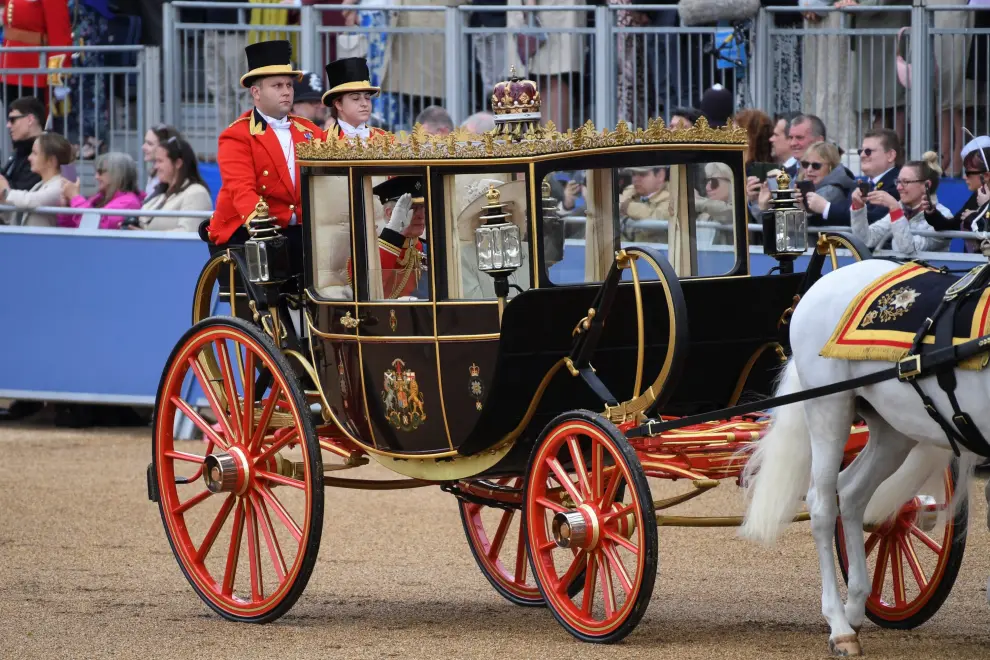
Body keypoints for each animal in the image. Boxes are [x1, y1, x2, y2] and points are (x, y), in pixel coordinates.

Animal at [744, 256, 984, 656]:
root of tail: (825, 282)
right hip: (829, 407)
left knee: (854, 495)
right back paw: (840, 626)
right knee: (823, 504)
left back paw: (855, 606)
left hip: (894, 428)